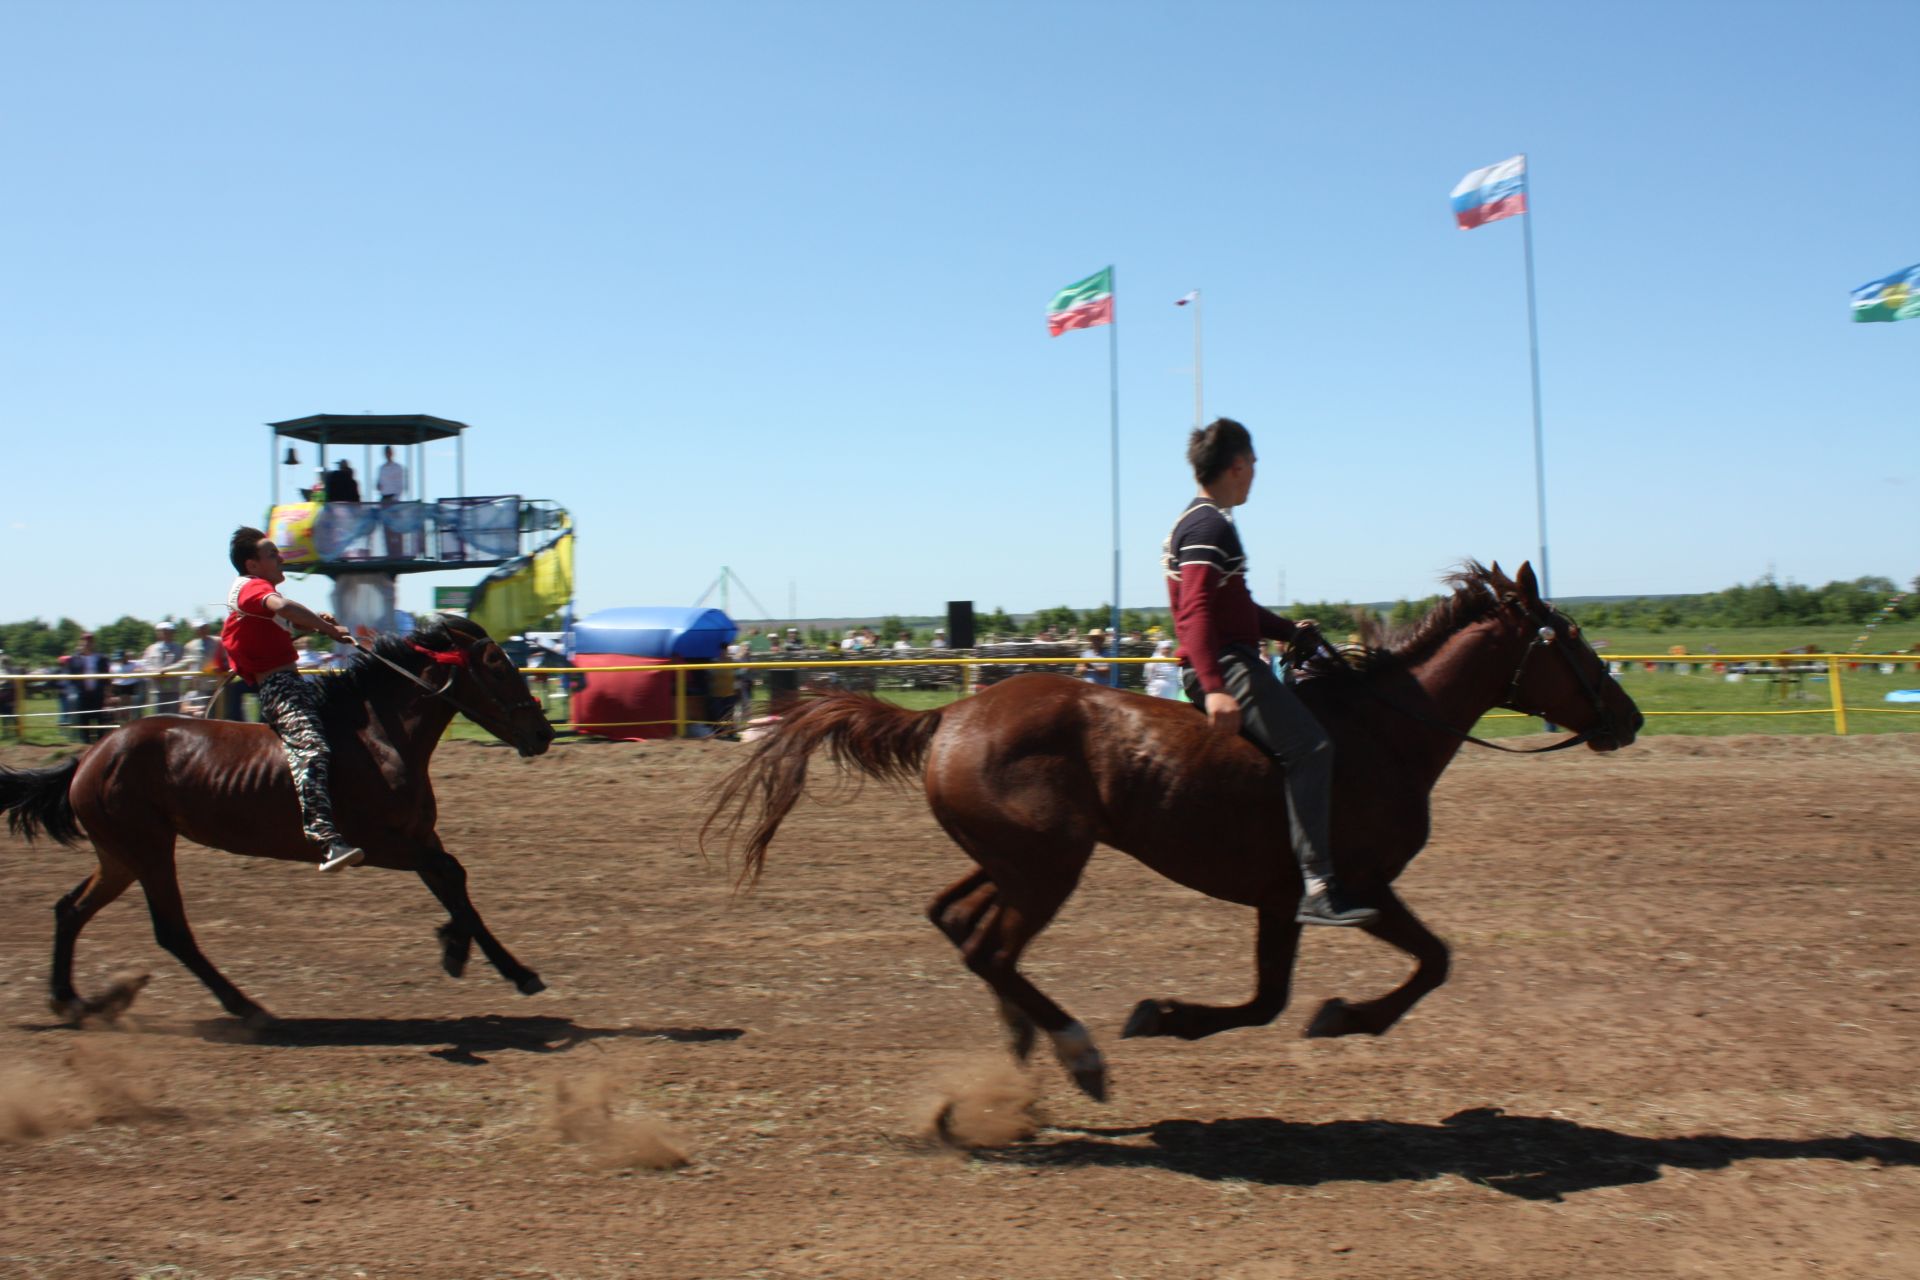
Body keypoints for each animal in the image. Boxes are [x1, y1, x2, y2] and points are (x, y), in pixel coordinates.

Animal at [1, 614, 556, 1028]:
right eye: (497, 665)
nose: (544, 732)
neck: (378, 738)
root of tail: (92, 755)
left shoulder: (420, 837)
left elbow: (454, 885)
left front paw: (497, 963)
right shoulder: (377, 846)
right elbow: (452, 876)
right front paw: (461, 950)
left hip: (120, 855)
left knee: (70, 909)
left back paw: (70, 1000)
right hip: (148, 849)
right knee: (171, 931)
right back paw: (246, 1008)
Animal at [714, 560, 1643, 1105]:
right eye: (1568, 637)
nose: (1629, 716)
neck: (1383, 734)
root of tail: (951, 713)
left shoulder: (1281, 899)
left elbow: (1280, 997)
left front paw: (1201, 1014)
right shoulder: (1347, 887)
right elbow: (1422, 963)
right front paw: (1337, 1016)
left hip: (1016, 860)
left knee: (957, 922)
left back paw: (1023, 1045)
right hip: (1047, 867)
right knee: (989, 947)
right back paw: (1077, 1054)